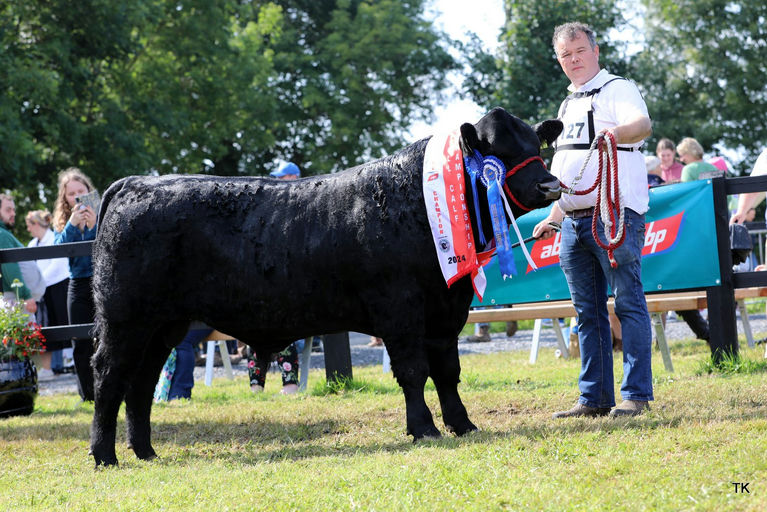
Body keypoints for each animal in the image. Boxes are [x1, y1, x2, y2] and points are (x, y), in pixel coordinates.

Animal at [90, 107, 563, 466]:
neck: (419, 205)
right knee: (110, 375)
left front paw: (462, 424)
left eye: (536, 145)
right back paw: (104, 455)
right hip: (124, 317)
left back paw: (145, 451)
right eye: (497, 149)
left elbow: (448, 371)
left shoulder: (448, 306)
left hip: (164, 323)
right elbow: (414, 370)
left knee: (142, 381)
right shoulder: (399, 307)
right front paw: (424, 428)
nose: (549, 184)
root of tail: (136, 183)